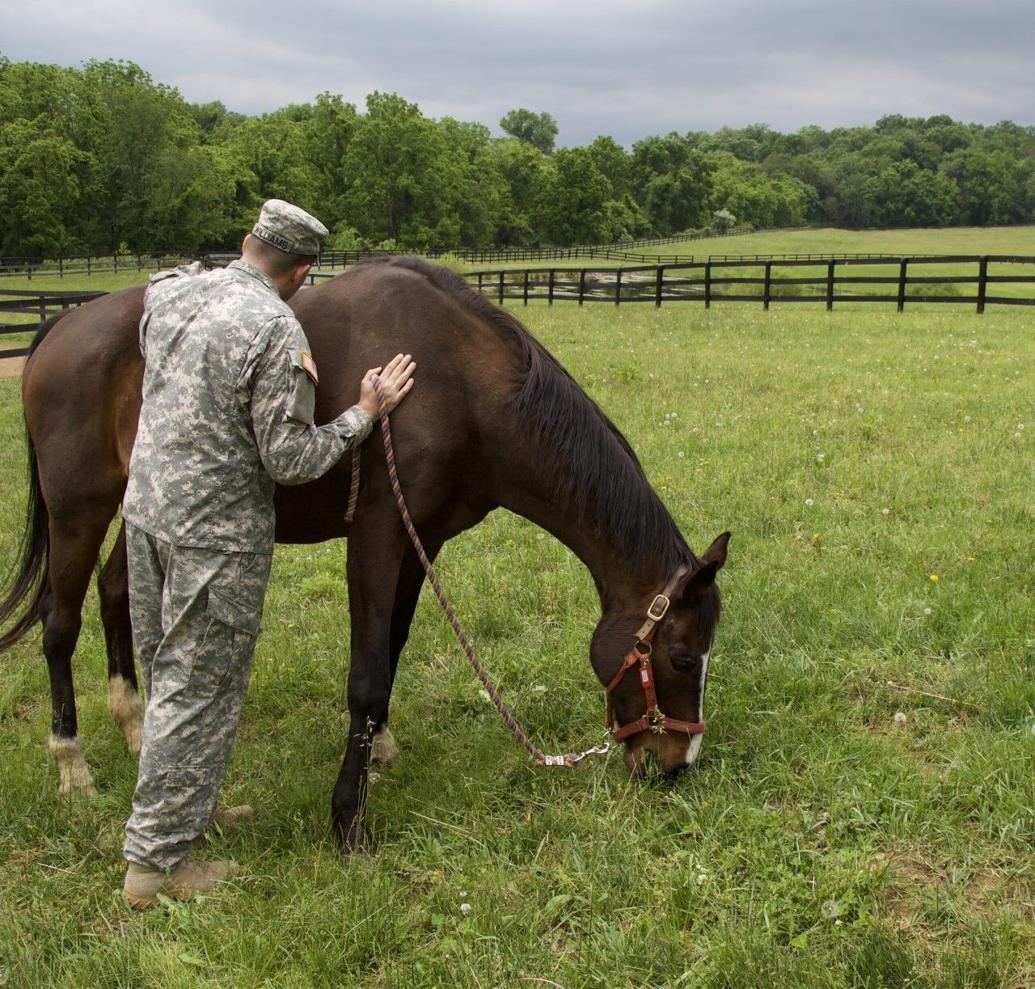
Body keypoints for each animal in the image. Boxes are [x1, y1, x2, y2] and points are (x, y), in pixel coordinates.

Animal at [0, 256, 729, 848]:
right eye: (681, 655)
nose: (676, 765)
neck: (455, 381)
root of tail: (60, 327)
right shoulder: (376, 537)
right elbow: (367, 673)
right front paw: (347, 819)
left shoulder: (422, 540)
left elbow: (394, 649)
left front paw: (378, 746)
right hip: (79, 510)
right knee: (59, 624)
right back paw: (72, 764)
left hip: (145, 510)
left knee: (114, 594)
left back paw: (134, 729)